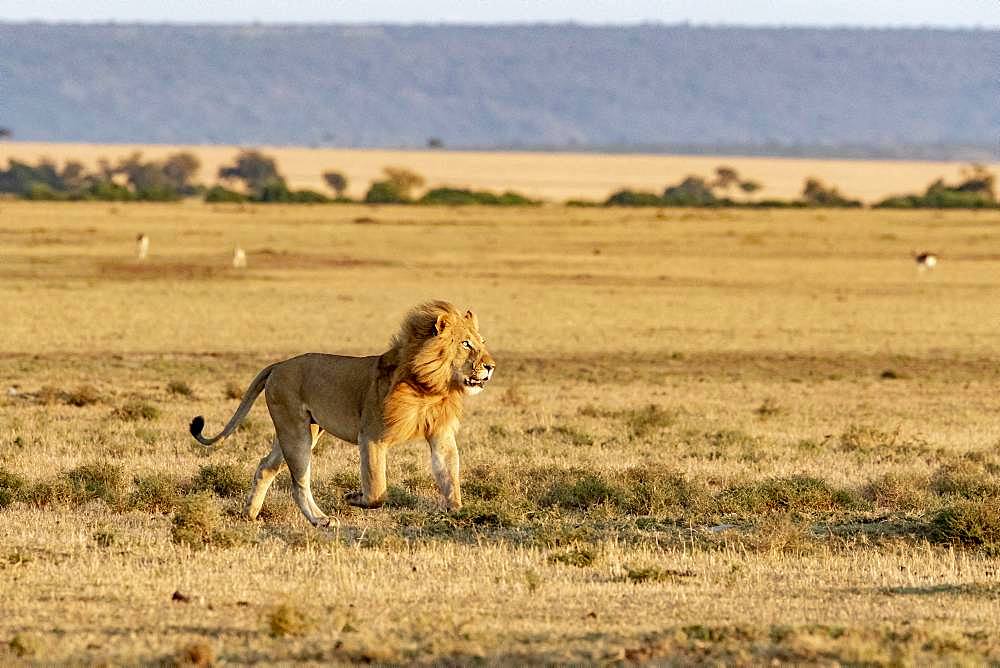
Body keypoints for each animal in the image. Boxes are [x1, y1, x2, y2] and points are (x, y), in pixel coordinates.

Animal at [188, 302, 492, 528]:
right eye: (466, 344)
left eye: (481, 342)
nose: (491, 366)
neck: (431, 387)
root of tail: (278, 364)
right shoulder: (371, 436)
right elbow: (376, 489)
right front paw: (353, 497)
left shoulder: (441, 435)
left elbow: (449, 477)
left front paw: (457, 513)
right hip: (295, 431)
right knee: (299, 481)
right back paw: (320, 519)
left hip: (302, 430)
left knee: (266, 466)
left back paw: (250, 513)